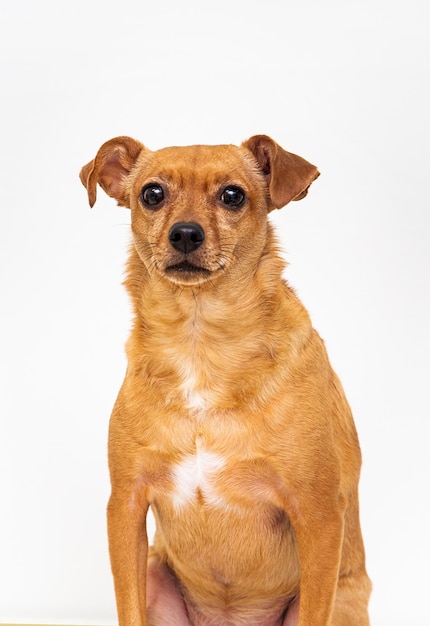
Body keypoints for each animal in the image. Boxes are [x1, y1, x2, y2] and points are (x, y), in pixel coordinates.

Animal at [80, 134, 370, 620]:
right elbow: (128, 608)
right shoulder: (126, 507)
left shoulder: (319, 515)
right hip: (155, 569)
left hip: (345, 599)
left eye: (233, 195)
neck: (200, 342)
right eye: (152, 194)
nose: (185, 233)